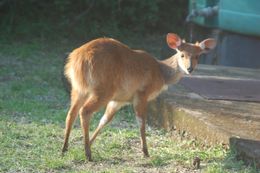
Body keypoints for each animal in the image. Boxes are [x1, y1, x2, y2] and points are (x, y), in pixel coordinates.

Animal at [62, 32, 216, 161]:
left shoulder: (120, 100)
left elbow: (105, 120)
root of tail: (78, 59)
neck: (160, 72)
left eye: (197, 56)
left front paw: (90, 142)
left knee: (71, 113)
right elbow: (141, 122)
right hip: (103, 90)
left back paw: (65, 149)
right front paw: (146, 152)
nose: (190, 69)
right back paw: (87, 154)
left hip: (78, 88)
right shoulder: (141, 93)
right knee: (85, 111)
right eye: (182, 54)